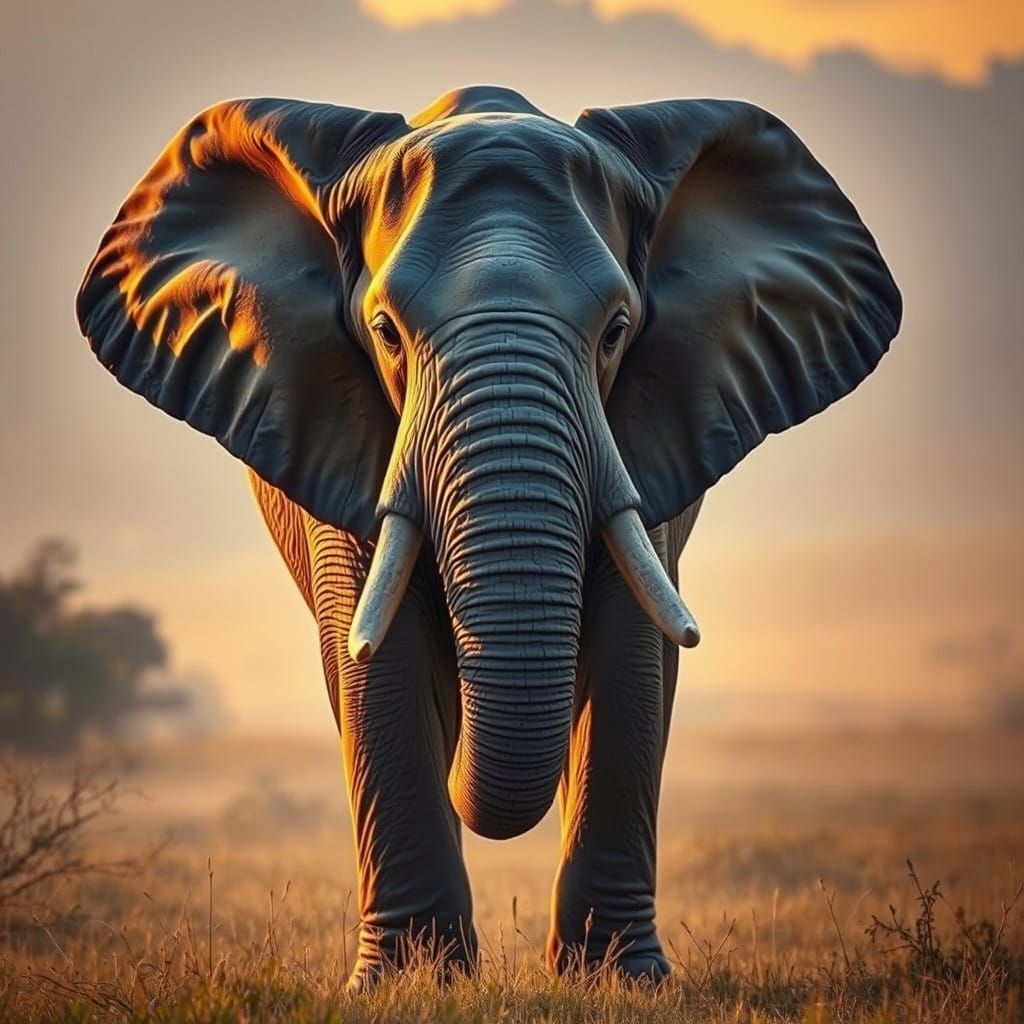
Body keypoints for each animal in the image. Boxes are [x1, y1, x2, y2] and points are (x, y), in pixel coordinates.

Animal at [76, 85, 900, 986]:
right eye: (386, 331)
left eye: (616, 330)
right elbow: (381, 652)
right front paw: (411, 983)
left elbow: (629, 652)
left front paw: (619, 981)